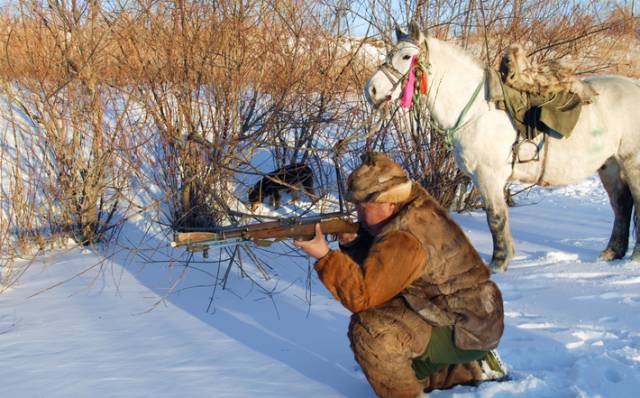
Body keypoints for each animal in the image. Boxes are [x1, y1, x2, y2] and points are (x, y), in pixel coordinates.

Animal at [364, 23, 640, 272]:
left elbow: (495, 218)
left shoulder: (488, 175)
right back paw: (612, 253)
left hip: (631, 163)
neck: (476, 109)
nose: (372, 90)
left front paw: (499, 263)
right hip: (610, 166)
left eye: (406, 57)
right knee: (622, 205)